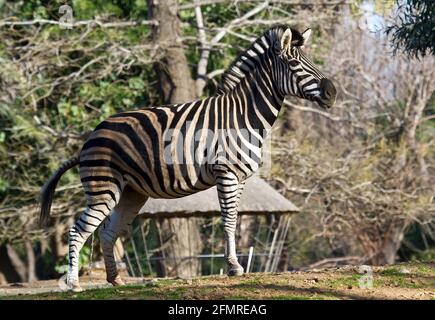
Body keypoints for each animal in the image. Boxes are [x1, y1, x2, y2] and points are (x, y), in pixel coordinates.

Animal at [39, 25, 338, 292]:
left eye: (310, 61)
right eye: (294, 63)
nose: (332, 92)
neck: (243, 115)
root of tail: (90, 138)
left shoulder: (241, 178)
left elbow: (235, 218)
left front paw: (233, 265)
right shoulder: (226, 173)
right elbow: (229, 219)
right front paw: (234, 267)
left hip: (131, 193)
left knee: (106, 232)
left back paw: (115, 280)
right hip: (104, 188)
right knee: (78, 231)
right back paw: (74, 284)